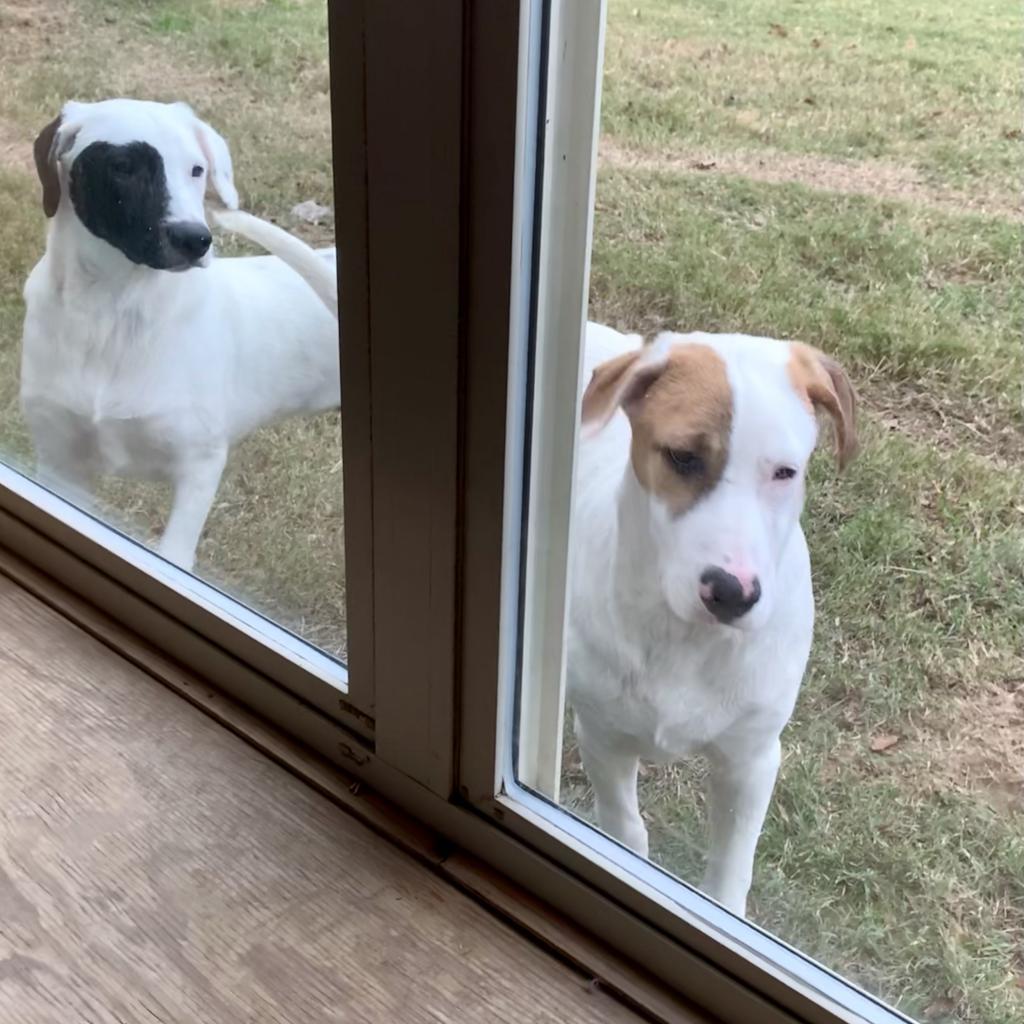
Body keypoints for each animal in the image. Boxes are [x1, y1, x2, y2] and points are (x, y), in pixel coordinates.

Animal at [20, 97, 339, 569]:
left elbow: (173, 553)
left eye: (196, 169)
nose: (195, 239)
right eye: (123, 166)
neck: (112, 312)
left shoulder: (200, 465)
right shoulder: (60, 462)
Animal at [569, 317, 856, 913]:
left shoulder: (751, 758)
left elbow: (728, 873)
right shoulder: (602, 734)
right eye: (682, 457)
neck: (686, 639)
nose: (731, 592)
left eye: (785, 472)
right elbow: (625, 830)